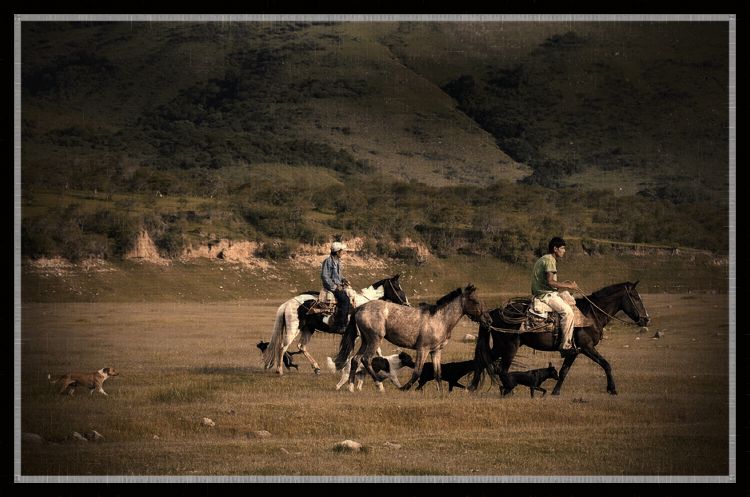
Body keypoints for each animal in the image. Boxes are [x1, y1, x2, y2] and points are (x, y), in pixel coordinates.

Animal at [472, 280, 648, 394]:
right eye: (636, 298)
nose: (646, 319)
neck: (591, 315)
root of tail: (493, 313)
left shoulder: (573, 351)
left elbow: (564, 371)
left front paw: (555, 392)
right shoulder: (587, 347)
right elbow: (606, 364)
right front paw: (612, 389)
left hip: (500, 347)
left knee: (482, 361)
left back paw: (472, 388)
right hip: (509, 347)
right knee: (501, 369)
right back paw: (506, 390)